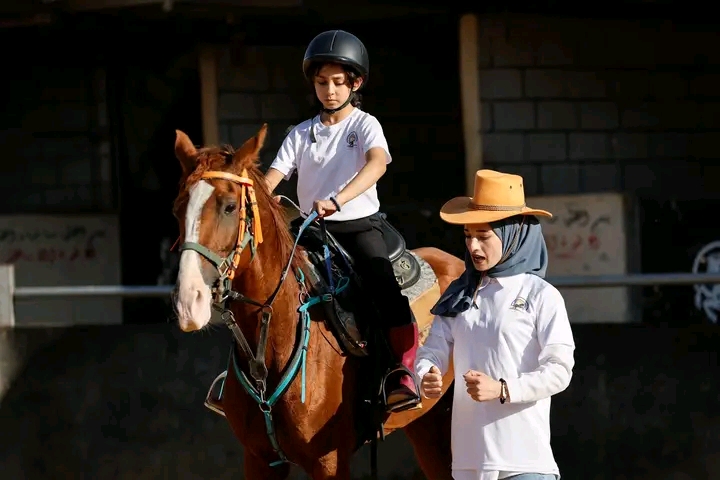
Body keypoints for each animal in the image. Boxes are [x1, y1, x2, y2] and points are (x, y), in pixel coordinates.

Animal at [172, 124, 464, 480]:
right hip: (428, 426)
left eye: (229, 206)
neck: (272, 342)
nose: (189, 301)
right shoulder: (258, 459)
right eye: (178, 208)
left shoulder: (329, 462)